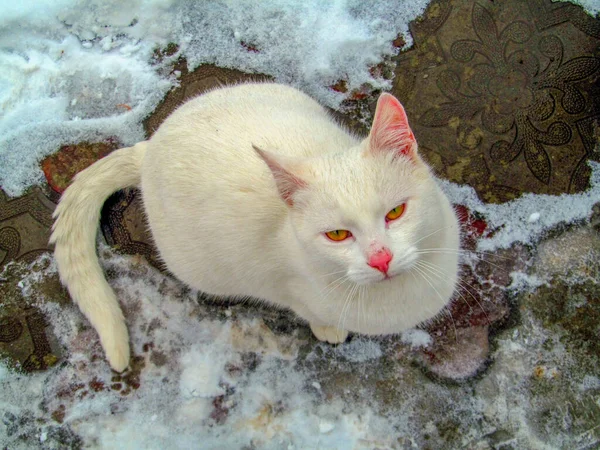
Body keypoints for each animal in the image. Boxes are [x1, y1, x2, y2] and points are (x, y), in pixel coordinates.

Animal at [50, 82, 460, 370]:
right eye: (337, 235)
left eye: (395, 212)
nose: (381, 259)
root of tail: (147, 147)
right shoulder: (288, 288)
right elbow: (309, 310)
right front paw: (329, 329)